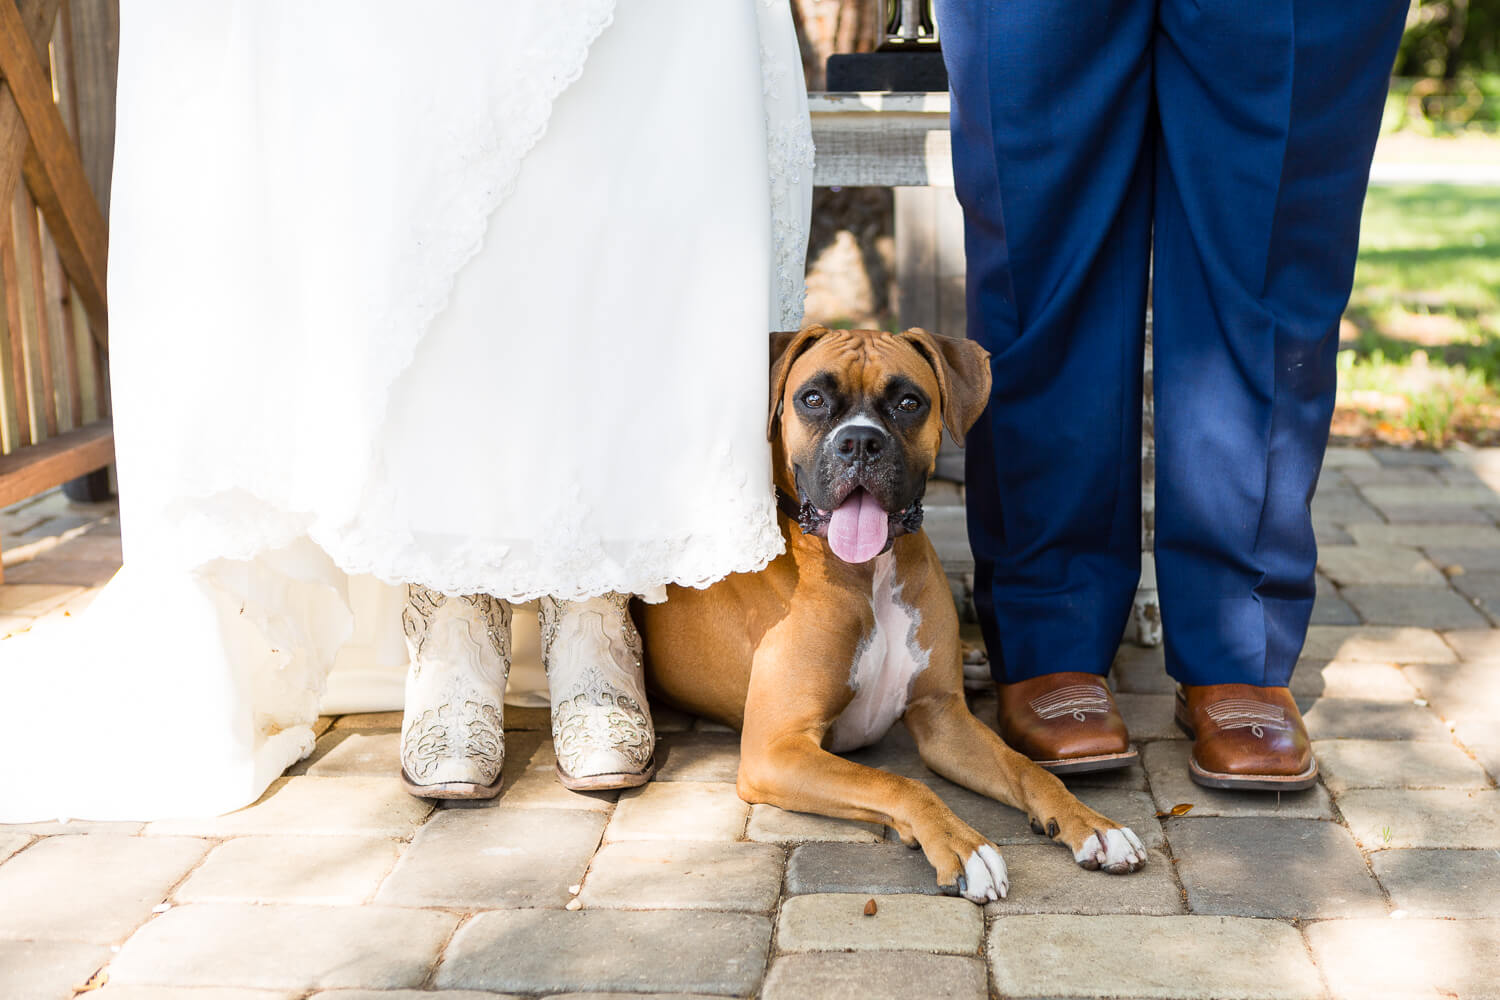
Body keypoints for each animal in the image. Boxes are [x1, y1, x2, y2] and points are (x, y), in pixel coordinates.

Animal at [636, 325, 1146, 905]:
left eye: (908, 403)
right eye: (812, 399)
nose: (860, 442)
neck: (869, 571)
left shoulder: (944, 720)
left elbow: (1027, 769)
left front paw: (1094, 825)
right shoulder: (776, 749)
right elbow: (898, 781)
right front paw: (965, 846)